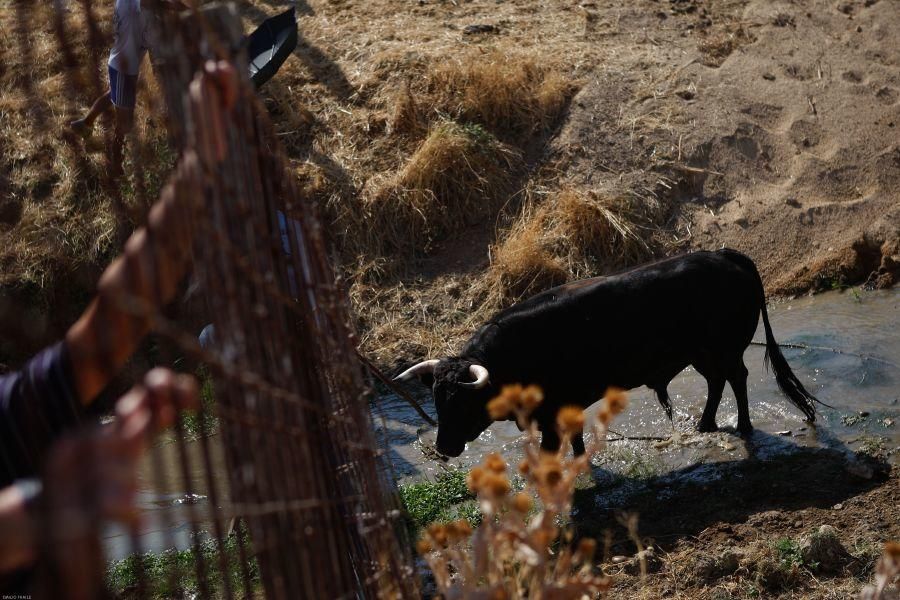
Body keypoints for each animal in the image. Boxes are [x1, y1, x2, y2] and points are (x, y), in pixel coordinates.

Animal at [396, 246, 824, 458]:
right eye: (437, 401)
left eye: (463, 403)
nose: (443, 448)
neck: (511, 355)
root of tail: (724, 255)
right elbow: (576, 439)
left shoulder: (551, 410)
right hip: (704, 355)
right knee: (719, 382)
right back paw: (705, 425)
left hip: (724, 349)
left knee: (737, 378)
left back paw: (744, 426)